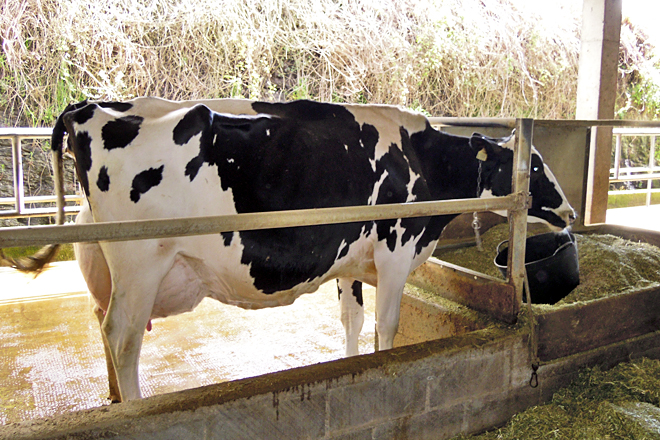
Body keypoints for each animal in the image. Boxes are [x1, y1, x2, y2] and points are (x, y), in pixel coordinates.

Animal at [26, 97, 575, 402]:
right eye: (535, 166)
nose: (570, 212)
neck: (424, 160)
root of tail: (86, 106)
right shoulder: (396, 251)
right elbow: (386, 325)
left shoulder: (353, 259)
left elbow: (352, 321)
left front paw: (351, 368)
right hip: (141, 262)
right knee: (122, 337)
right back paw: (138, 405)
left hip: (108, 266)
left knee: (102, 324)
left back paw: (118, 400)